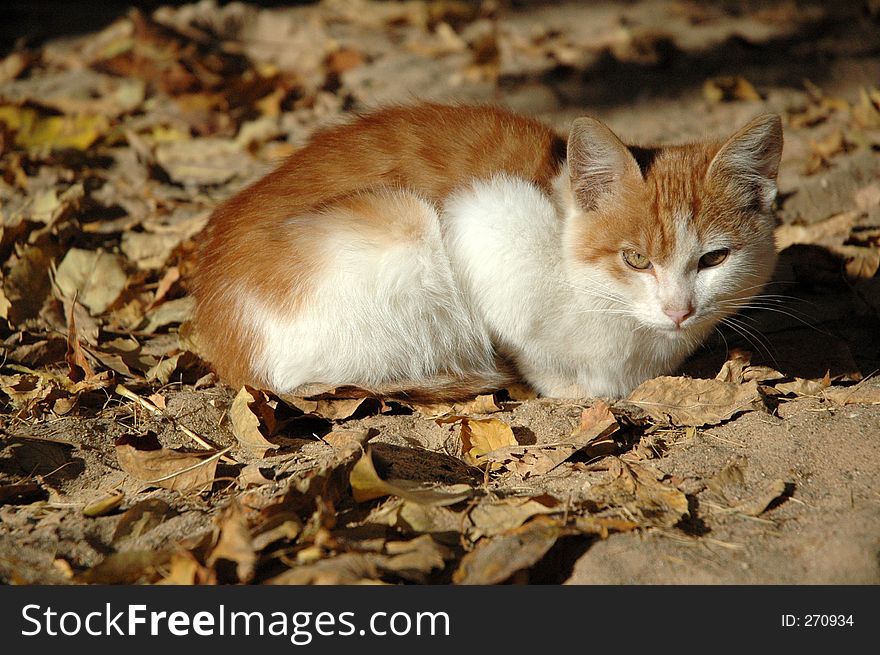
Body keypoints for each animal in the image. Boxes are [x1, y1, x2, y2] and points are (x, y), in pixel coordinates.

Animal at [189, 104, 780, 400]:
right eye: (635, 260)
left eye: (713, 260)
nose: (679, 311)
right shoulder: (486, 222)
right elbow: (533, 351)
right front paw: (568, 384)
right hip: (401, 222)